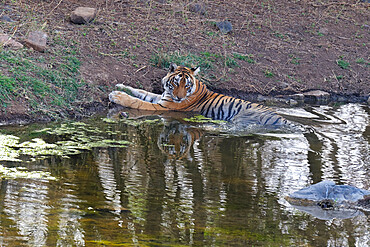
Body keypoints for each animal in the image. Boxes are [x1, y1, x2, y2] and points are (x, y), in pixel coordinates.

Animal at [108, 62, 290, 126]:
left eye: (186, 85)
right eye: (176, 83)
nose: (179, 97)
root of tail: (282, 118)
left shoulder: (165, 107)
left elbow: (138, 101)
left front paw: (116, 95)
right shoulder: (162, 97)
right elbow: (141, 92)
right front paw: (120, 86)